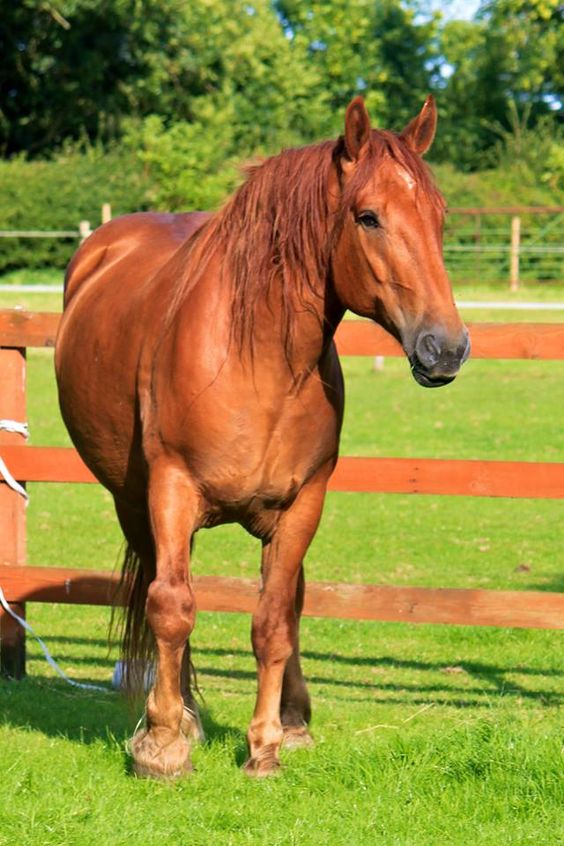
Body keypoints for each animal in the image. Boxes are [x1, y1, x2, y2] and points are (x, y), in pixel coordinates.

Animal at [55, 94, 472, 780]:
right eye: (368, 217)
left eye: (438, 218)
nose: (447, 348)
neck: (259, 363)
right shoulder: (170, 489)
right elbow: (171, 606)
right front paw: (163, 744)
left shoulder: (304, 503)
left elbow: (276, 619)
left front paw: (267, 746)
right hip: (132, 501)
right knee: (163, 593)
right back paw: (180, 718)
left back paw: (286, 720)